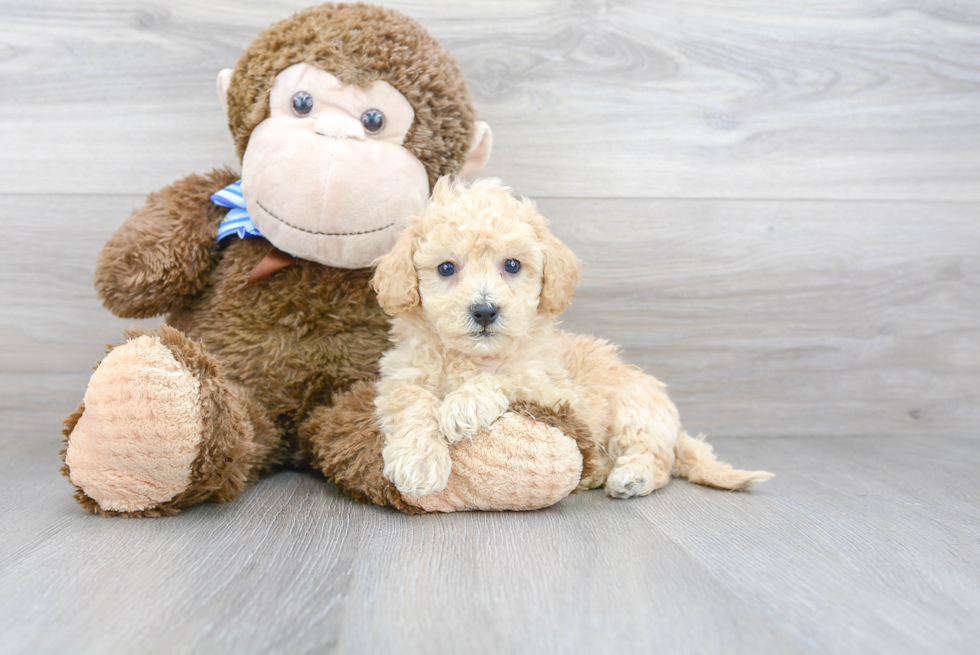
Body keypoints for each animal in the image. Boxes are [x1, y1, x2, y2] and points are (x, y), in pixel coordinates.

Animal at [370, 178, 772, 498]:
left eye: (512, 265)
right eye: (446, 268)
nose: (484, 311)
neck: (474, 357)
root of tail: (675, 430)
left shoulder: (558, 392)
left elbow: (510, 376)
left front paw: (463, 404)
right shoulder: (401, 376)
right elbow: (412, 404)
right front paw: (419, 463)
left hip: (633, 407)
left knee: (658, 458)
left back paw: (633, 477)